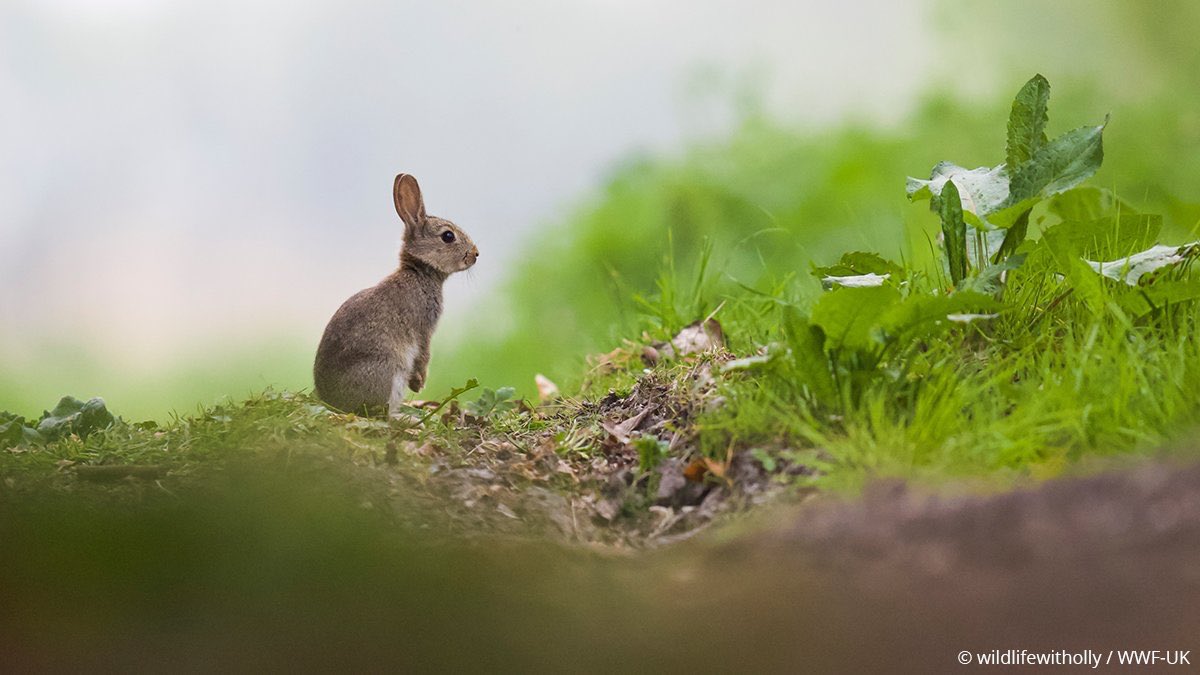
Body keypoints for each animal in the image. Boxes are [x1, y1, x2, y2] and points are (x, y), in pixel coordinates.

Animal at [313, 173, 479, 418]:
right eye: (448, 236)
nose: (476, 254)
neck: (419, 272)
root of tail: (334, 402)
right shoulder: (423, 329)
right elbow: (424, 354)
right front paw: (419, 383)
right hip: (388, 371)